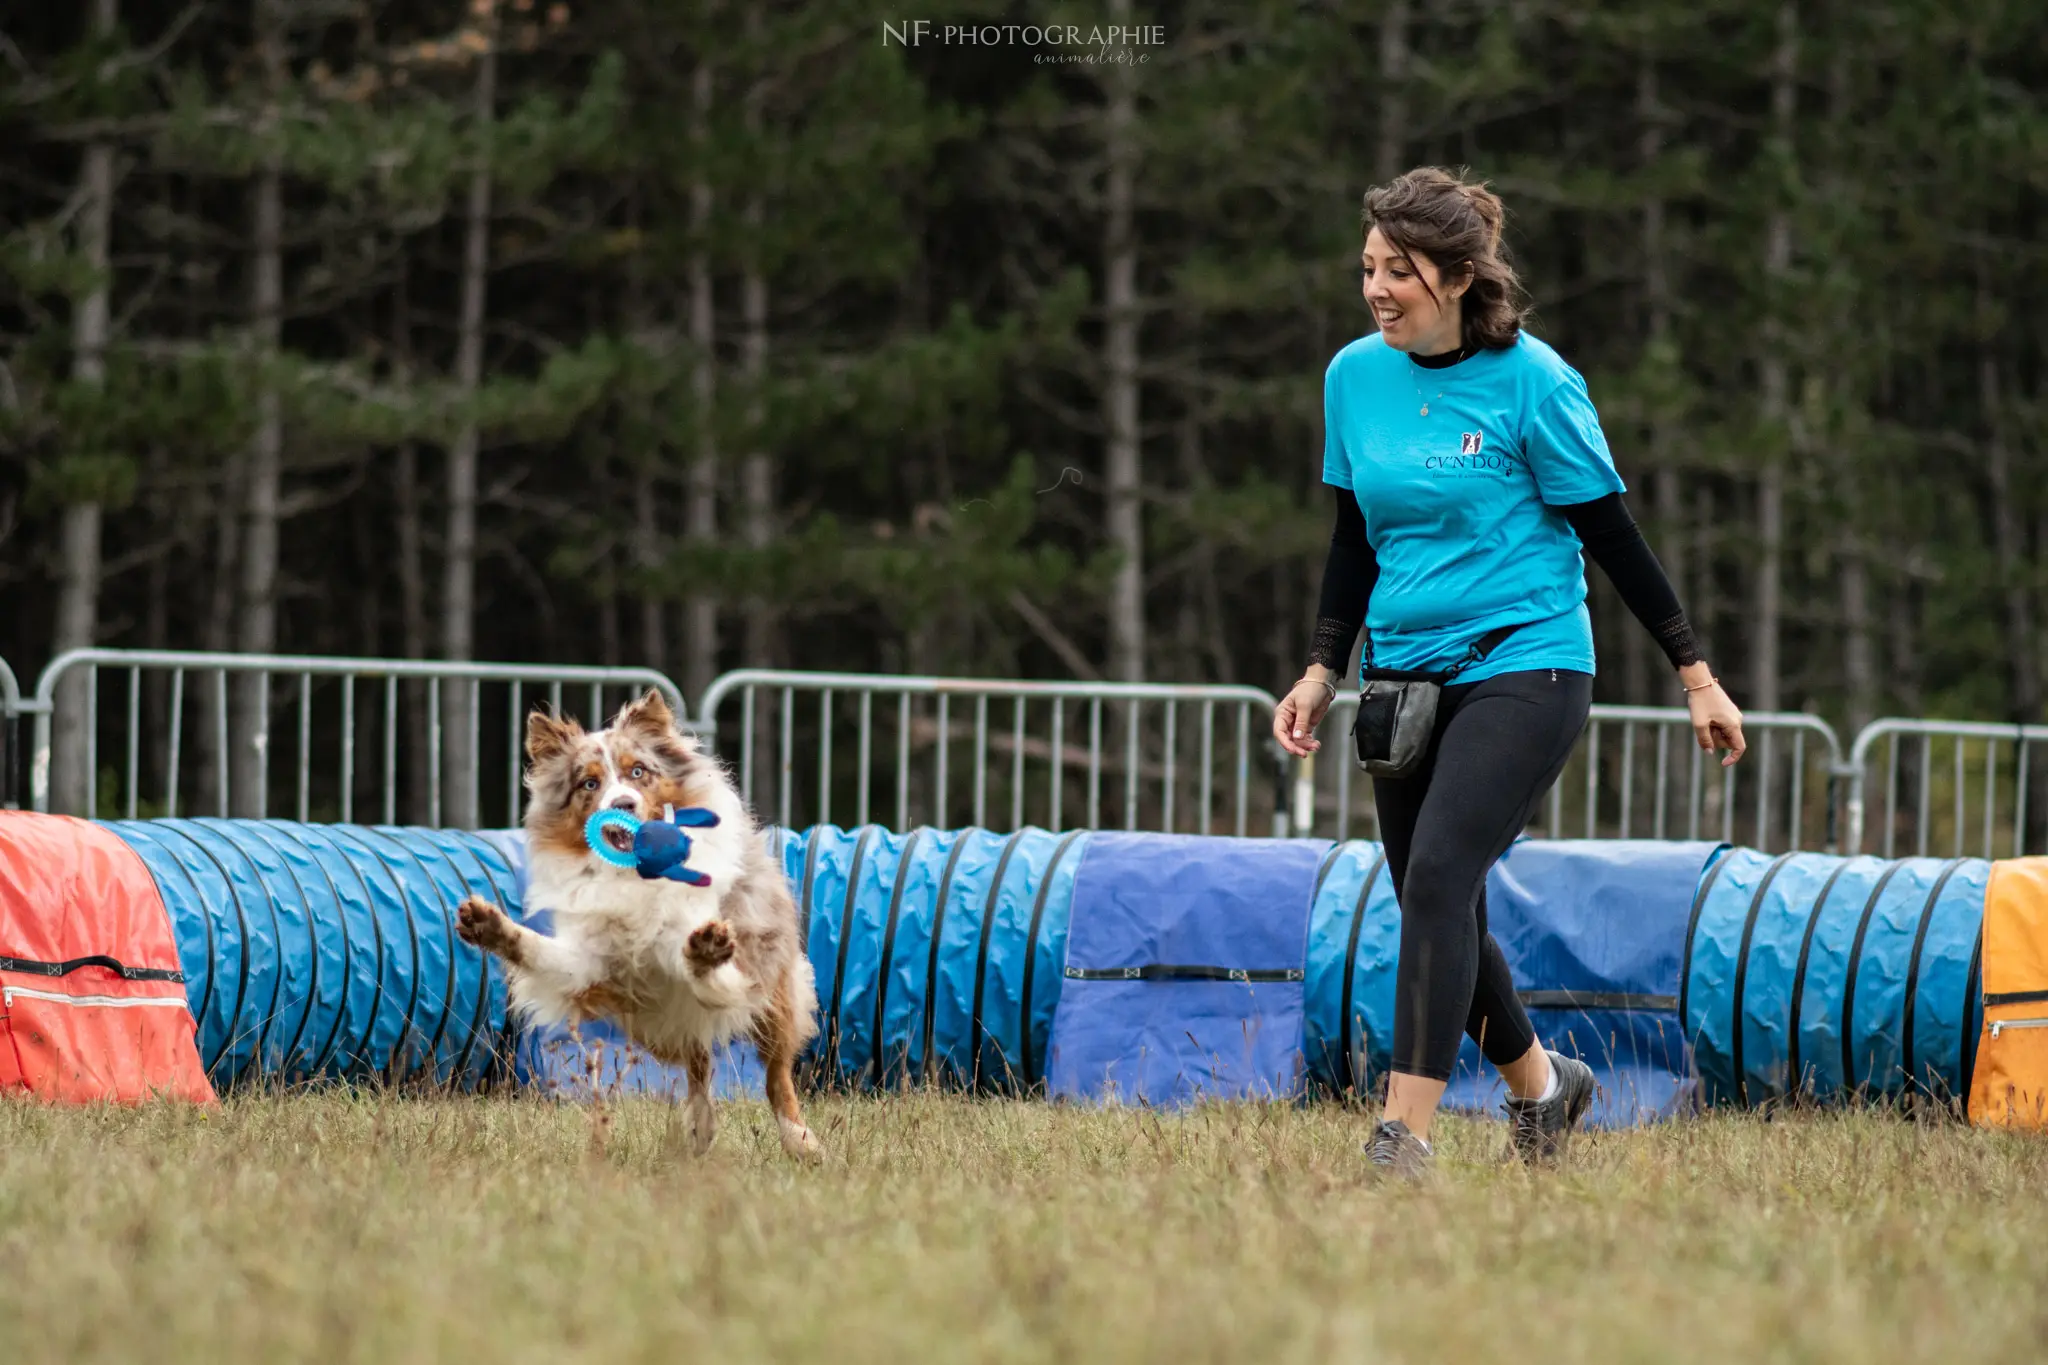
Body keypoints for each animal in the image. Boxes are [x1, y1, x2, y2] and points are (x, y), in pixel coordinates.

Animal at [458, 687, 823, 1162]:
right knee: (699, 1063)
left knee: (776, 1074)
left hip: (774, 993)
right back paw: (700, 1129)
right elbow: (541, 951)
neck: (631, 873)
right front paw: (489, 925)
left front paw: (705, 951)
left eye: (637, 772)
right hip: (657, 1029)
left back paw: (800, 1140)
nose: (623, 805)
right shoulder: (591, 963)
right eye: (589, 783)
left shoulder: (703, 939)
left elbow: (702, 965)